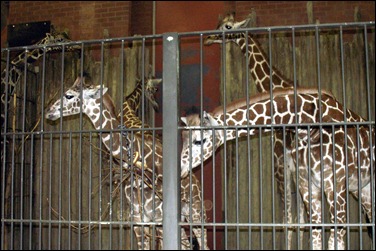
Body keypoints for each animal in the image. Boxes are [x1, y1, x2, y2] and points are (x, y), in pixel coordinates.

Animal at [181, 86, 374, 249]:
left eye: (199, 140)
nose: (181, 170)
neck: (309, 125)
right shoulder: (308, 187)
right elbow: (316, 238)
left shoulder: (336, 186)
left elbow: (336, 240)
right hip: (363, 190)